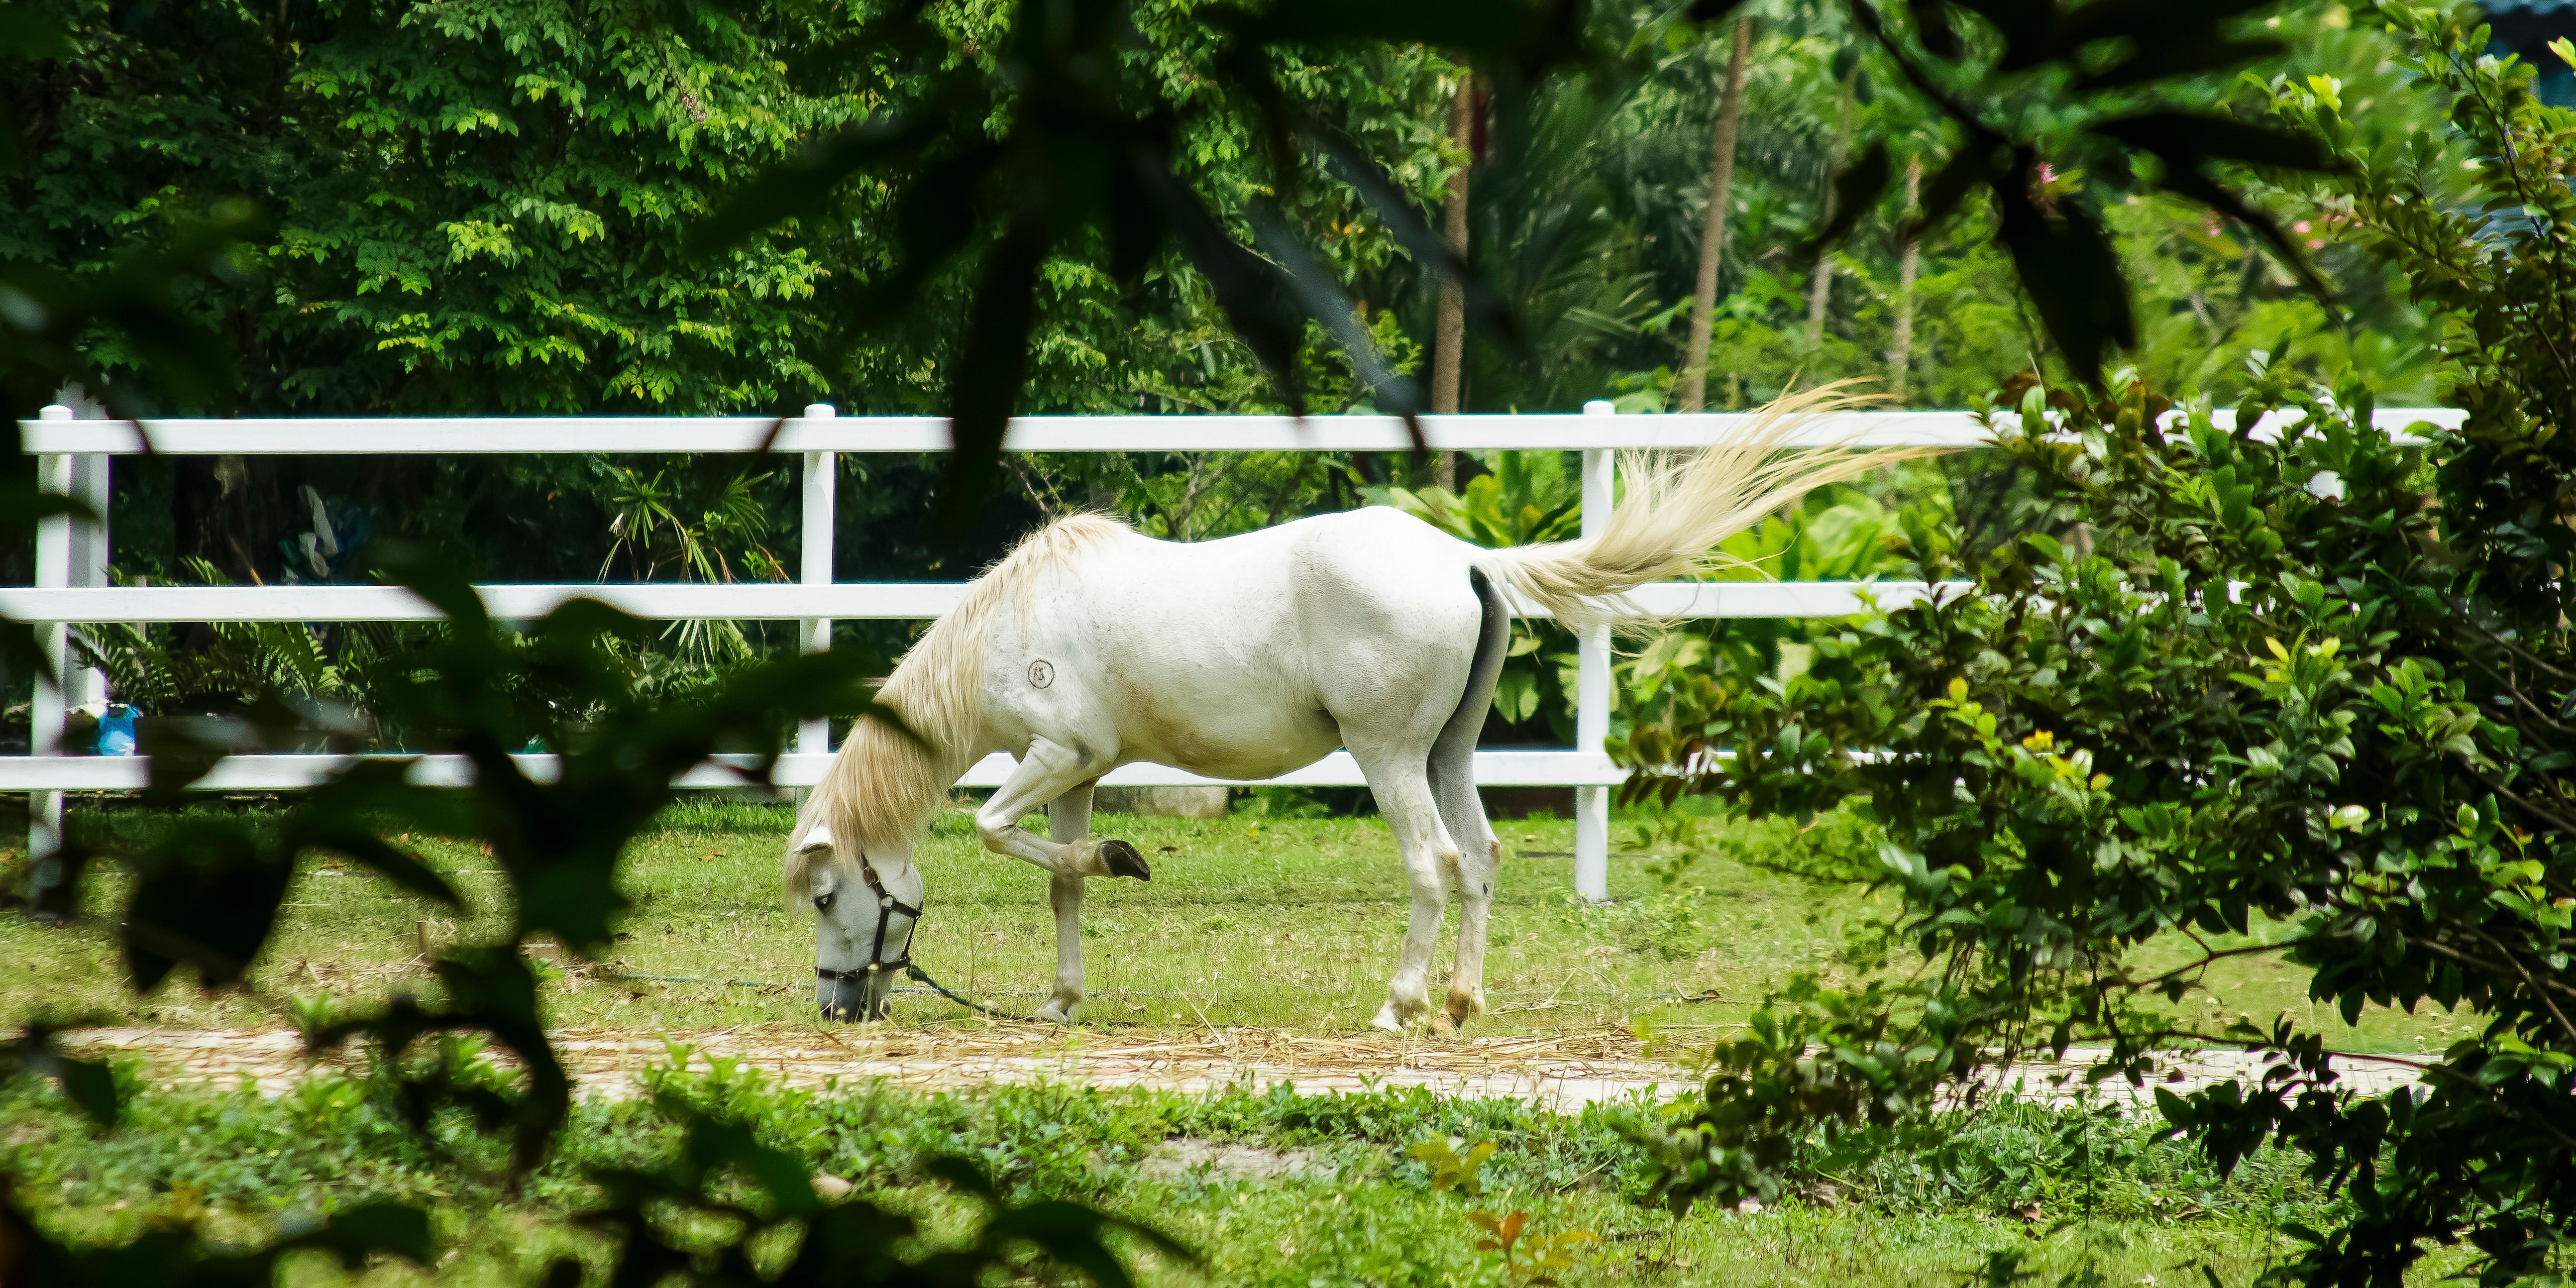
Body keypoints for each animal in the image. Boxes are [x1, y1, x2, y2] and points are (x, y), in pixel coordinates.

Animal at [784, 398, 1885, 1029]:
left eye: (829, 897)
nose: (839, 1008)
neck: (1015, 623)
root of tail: (1465, 556)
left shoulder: (1059, 752)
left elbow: (989, 827)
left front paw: (1120, 861)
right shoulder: (1079, 772)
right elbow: (1059, 881)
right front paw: (1062, 994)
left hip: (1389, 758)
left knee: (1434, 863)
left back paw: (1398, 1007)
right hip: (1447, 756)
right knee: (1481, 860)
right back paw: (1458, 1002)